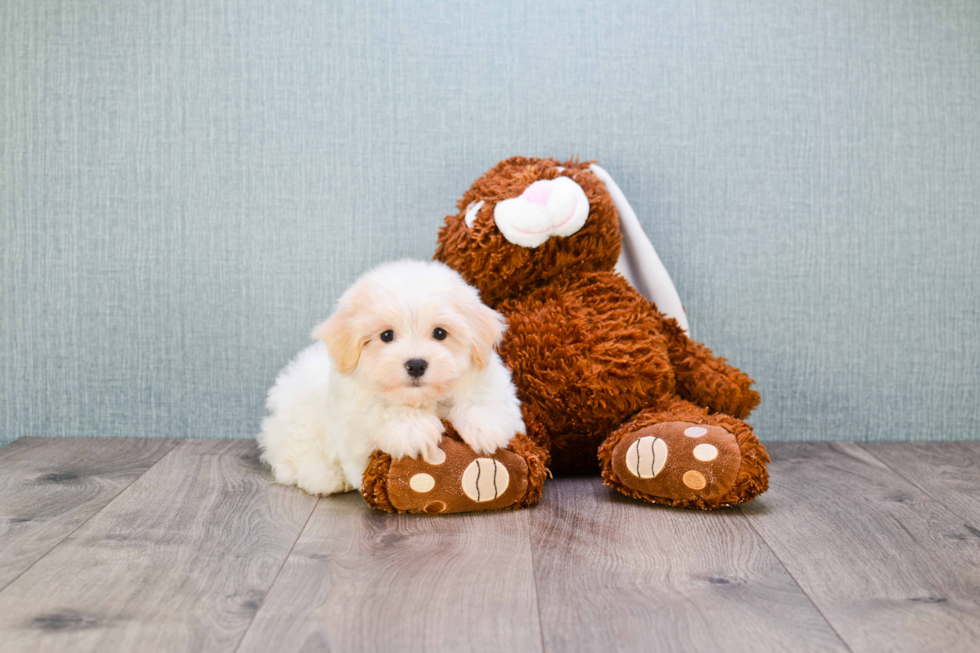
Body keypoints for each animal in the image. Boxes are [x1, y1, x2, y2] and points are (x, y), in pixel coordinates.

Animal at [256, 260, 524, 494]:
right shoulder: (354, 426)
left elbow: (483, 400)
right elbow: (382, 412)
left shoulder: (495, 389)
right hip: (299, 418)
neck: (422, 400)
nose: (416, 365)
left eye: (440, 333)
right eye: (386, 335)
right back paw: (325, 476)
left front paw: (484, 426)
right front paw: (412, 428)